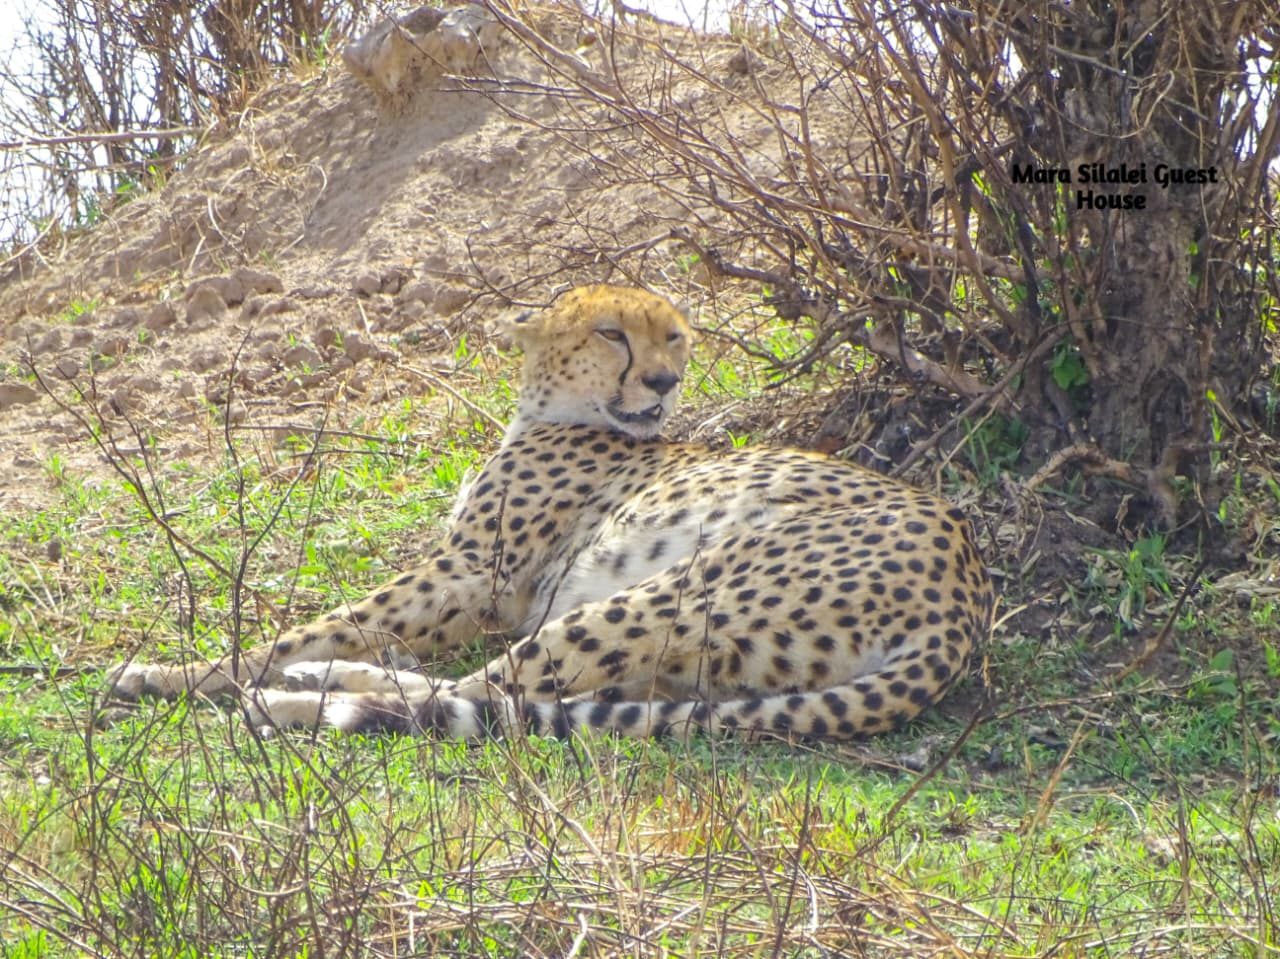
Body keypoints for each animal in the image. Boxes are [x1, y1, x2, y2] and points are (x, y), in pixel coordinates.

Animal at [108, 284, 994, 741]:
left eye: (675, 337)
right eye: (612, 333)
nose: (666, 382)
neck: (560, 411)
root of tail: (965, 599)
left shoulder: (472, 572)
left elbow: (302, 627)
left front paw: (174, 672)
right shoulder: (482, 585)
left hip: (682, 587)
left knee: (490, 689)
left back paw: (294, 698)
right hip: (697, 651)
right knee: (501, 687)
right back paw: (318, 684)